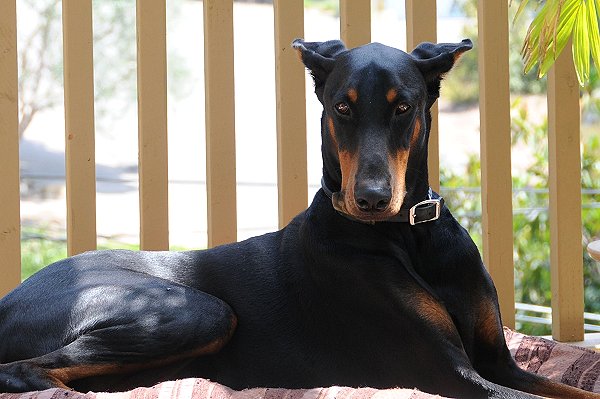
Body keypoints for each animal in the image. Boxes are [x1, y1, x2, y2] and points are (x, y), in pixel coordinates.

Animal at [1, 39, 600, 399]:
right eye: (342, 106)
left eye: (403, 106)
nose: (371, 198)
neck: (410, 235)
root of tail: (11, 297)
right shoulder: (451, 374)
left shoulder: (500, 363)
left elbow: (578, 389)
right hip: (196, 311)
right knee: (24, 371)